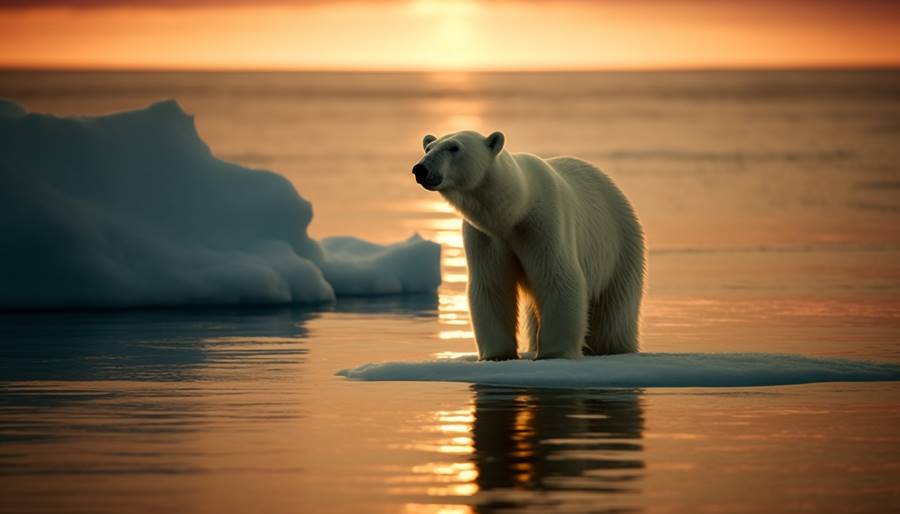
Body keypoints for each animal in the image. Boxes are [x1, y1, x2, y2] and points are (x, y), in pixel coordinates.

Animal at [412, 130, 644, 358]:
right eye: (428, 147)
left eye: (454, 147)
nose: (420, 169)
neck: (515, 210)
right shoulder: (485, 237)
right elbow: (492, 286)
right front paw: (497, 354)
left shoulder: (544, 225)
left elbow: (558, 278)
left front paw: (554, 353)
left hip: (620, 246)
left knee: (614, 315)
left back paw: (614, 347)